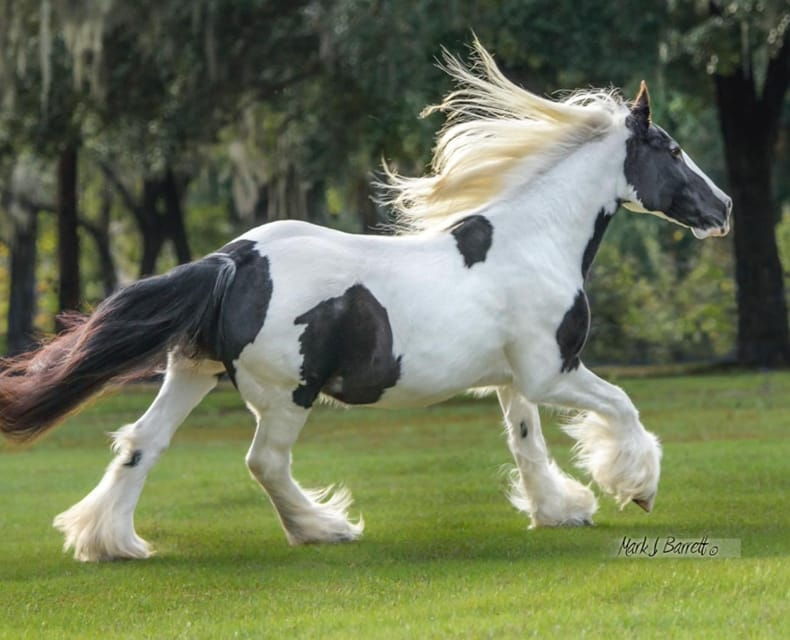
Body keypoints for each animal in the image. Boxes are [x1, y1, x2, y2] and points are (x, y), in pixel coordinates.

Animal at [0, 41, 731, 562]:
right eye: (671, 149)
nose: (722, 209)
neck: (534, 239)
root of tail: (234, 260)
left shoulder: (515, 380)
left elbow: (527, 445)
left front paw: (562, 509)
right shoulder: (554, 373)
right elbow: (623, 407)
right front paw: (636, 488)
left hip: (193, 372)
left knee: (141, 442)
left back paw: (110, 543)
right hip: (286, 393)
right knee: (263, 462)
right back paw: (324, 529)